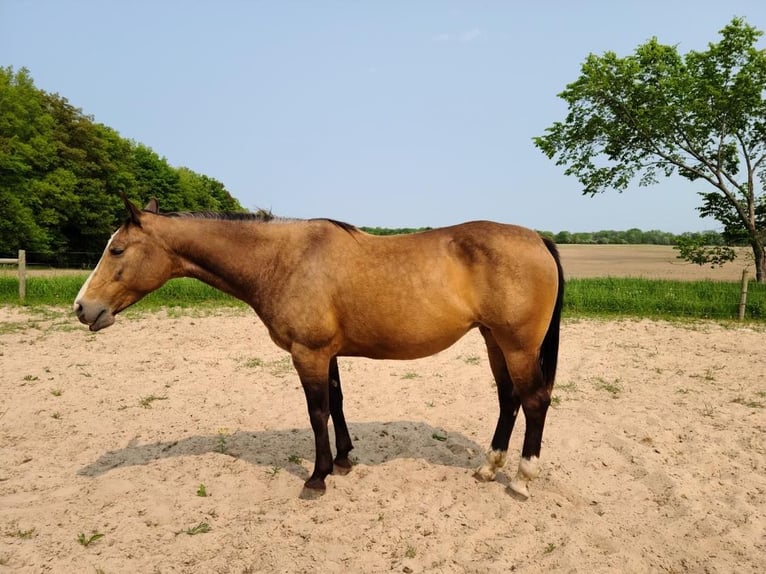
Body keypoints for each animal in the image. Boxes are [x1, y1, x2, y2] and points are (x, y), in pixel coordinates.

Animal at [73, 198, 564, 500]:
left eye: (117, 250)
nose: (82, 307)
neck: (283, 261)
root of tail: (537, 238)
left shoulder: (307, 353)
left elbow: (317, 411)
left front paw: (318, 476)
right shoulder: (327, 353)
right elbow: (338, 402)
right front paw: (344, 460)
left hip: (517, 345)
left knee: (534, 401)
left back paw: (522, 480)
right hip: (494, 340)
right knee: (509, 399)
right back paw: (489, 468)